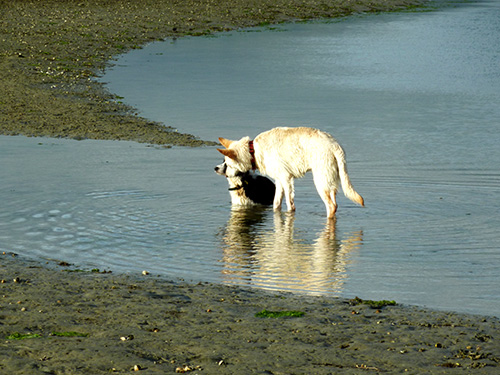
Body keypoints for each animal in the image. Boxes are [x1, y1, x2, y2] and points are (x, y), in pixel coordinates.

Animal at [217, 128, 366, 219]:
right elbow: (276, 203)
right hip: (330, 181)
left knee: (331, 206)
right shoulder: (279, 181)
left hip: (320, 181)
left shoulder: (286, 178)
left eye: (228, 164)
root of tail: (335, 145)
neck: (253, 150)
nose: (216, 169)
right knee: (335, 203)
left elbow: (290, 205)